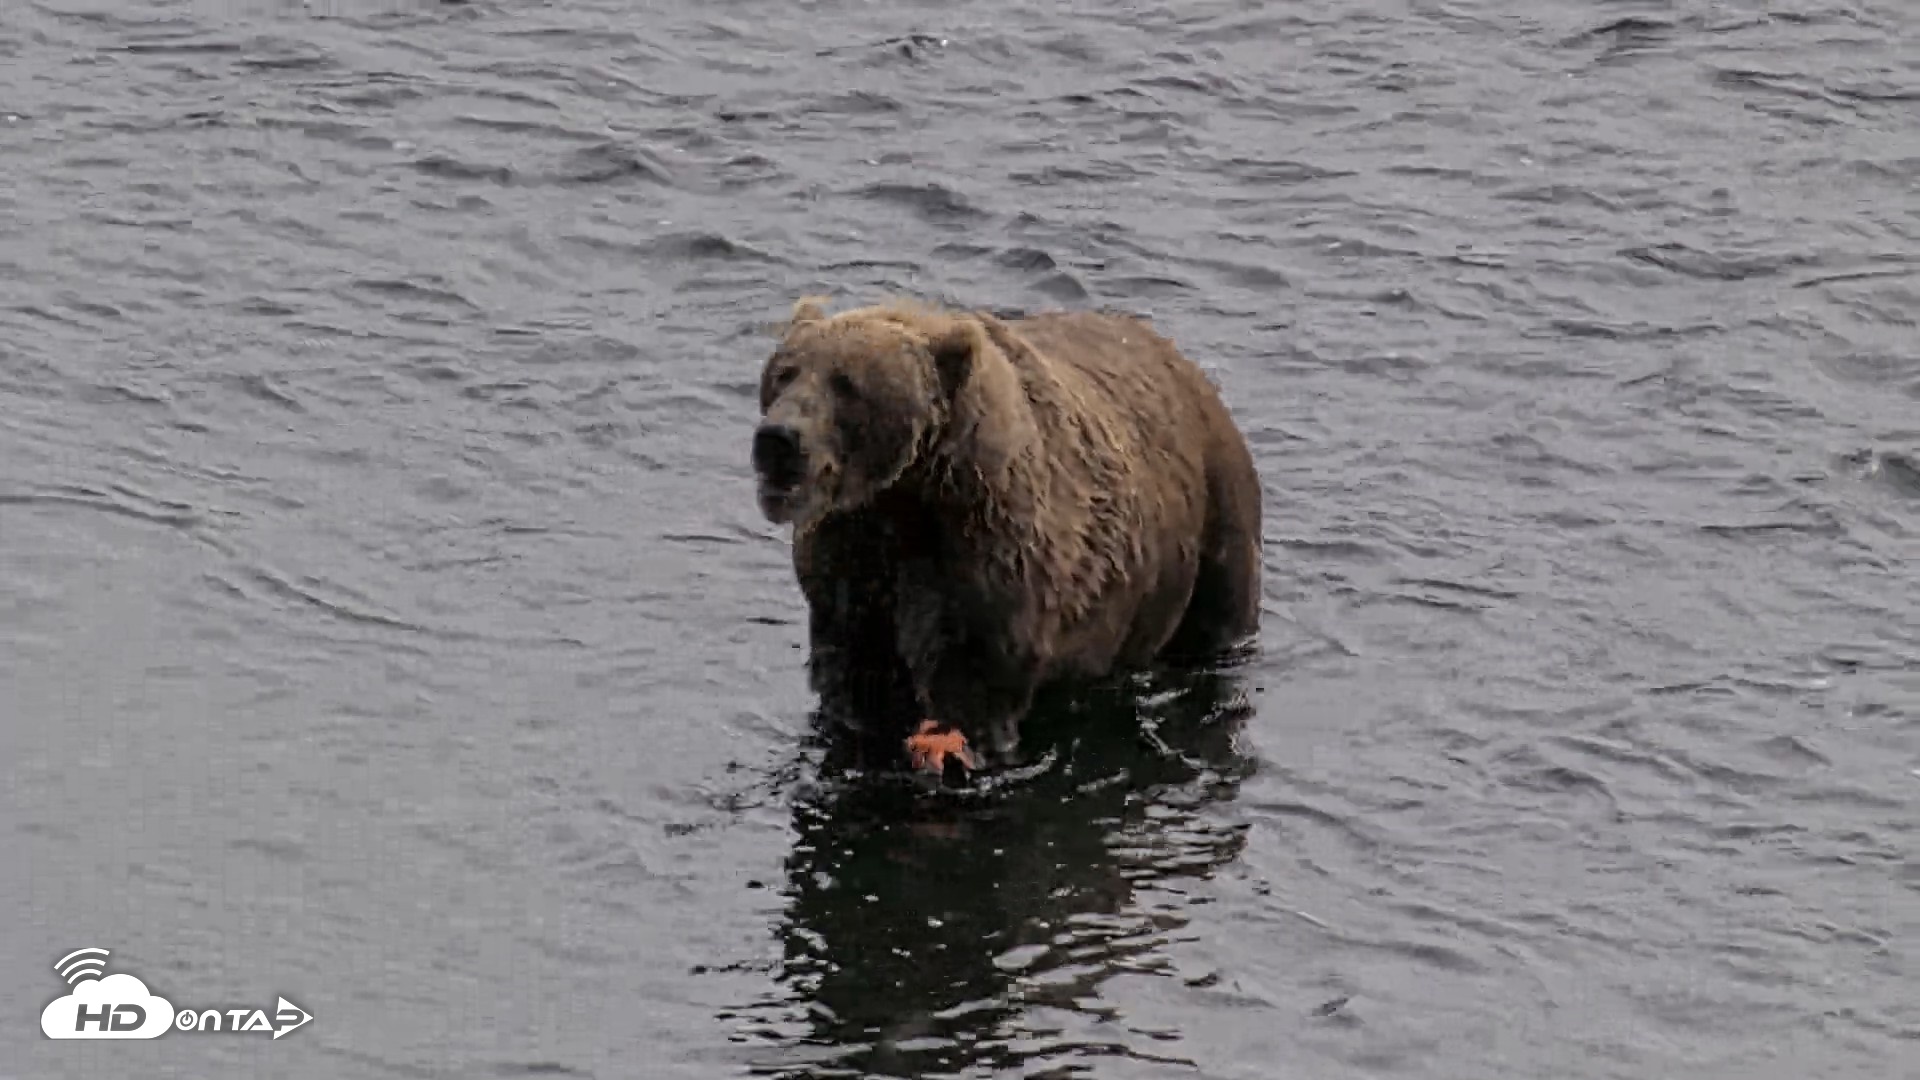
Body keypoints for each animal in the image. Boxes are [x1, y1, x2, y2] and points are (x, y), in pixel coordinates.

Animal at [750, 296, 1262, 778]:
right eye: (784, 373)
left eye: (847, 384)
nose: (777, 439)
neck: (905, 499)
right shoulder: (849, 572)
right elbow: (852, 677)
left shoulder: (987, 563)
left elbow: (974, 684)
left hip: (1214, 522)